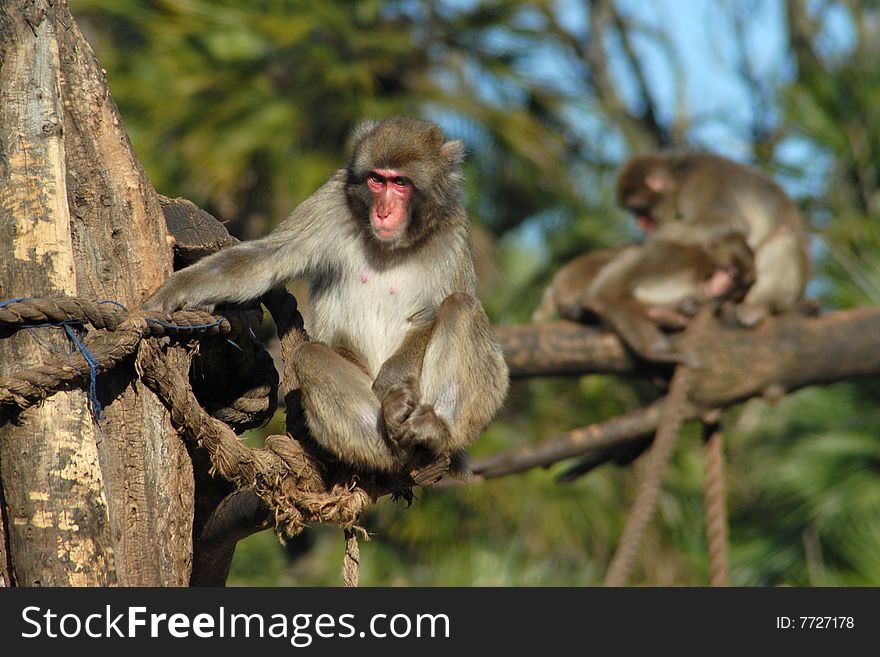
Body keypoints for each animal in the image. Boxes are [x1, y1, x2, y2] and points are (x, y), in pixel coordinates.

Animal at [146, 116, 508, 476]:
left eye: (401, 183)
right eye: (377, 180)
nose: (383, 212)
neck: (393, 245)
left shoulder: (453, 231)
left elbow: (434, 312)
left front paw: (392, 382)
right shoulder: (331, 203)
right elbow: (266, 260)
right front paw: (175, 291)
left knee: (462, 306)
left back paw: (433, 430)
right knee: (311, 356)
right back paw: (387, 437)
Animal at [532, 233, 752, 362]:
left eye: (735, 279)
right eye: (726, 271)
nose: (722, 284)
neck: (697, 273)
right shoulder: (669, 255)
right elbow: (608, 292)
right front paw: (658, 352)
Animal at [616, 152, 808, 328]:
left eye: (639, 210)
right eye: (634, 211)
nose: (639, 223)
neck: (679, 177)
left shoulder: (698, 187)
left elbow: (728, 224)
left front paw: (649, 239)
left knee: (786, 237)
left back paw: (757, 306)